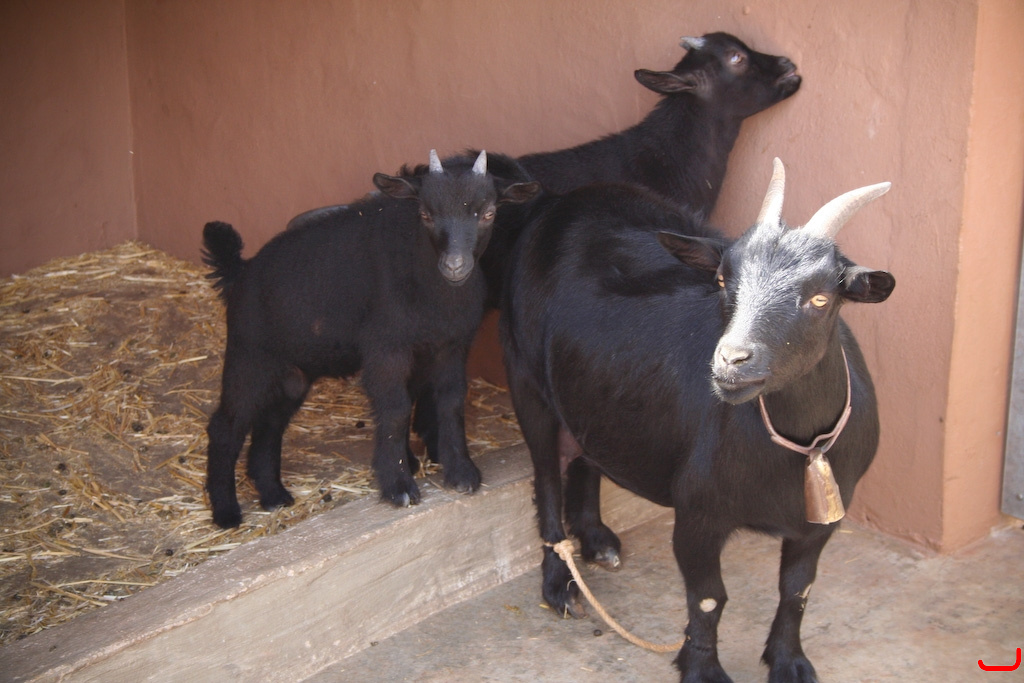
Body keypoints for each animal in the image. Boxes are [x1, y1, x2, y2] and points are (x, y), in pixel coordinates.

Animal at [202, 150, 540, 528]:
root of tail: (241, 272)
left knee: (269, 425)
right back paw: (226, 512)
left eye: (488, 213)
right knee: (226, 426)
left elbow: (451, 402)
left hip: (293, 373)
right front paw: (398, 485)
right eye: (425, 213)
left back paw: (273, 495)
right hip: (249, 357)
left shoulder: (450, 346)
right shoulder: (387, 348)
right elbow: (395, 409)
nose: (455, 266)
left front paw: (461, 473)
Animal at [500, 159, 894, 682]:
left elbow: (797, 590)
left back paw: (596, 540)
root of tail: (560, 200)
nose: (732, 361)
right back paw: (559, 583)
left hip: (591, 389)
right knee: (545, 475)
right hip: (524, 377)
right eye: (724, 280)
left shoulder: (822, 519)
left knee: (586, 452)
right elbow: (709, 599)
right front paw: (703, 668)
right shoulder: (698, 513)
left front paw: (789, 661)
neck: (798, 447)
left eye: (820, 298)